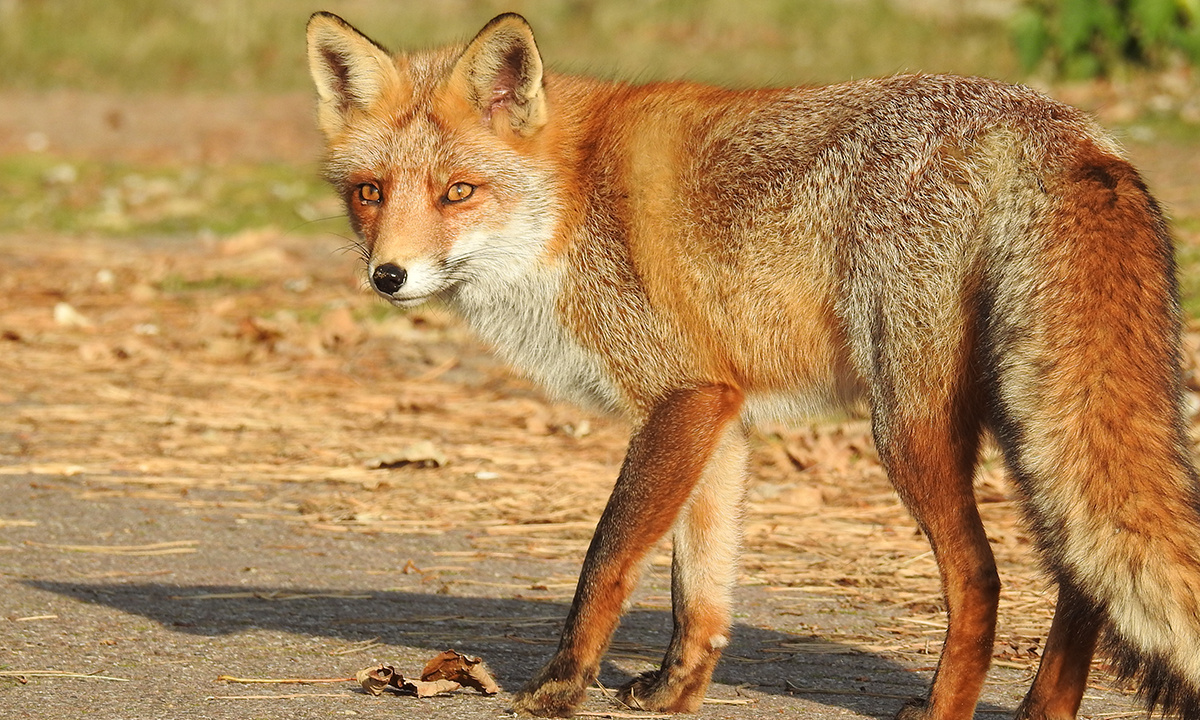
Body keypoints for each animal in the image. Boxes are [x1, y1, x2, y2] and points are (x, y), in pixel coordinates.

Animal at [304, 11, 1200, 720]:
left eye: (457, 192)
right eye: (370, 193)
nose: (388, 276)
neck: (571, 201)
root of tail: (1060, 126)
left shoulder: (683, 397)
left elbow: (608, 560)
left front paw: (560, 688)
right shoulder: (719, 414)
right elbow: (696, 588)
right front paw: (674, 692)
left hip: (910, 425)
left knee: (982, 577)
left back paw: (945, 708)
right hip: (1028, 422)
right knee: (1082, 578)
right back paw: (1042, 709)